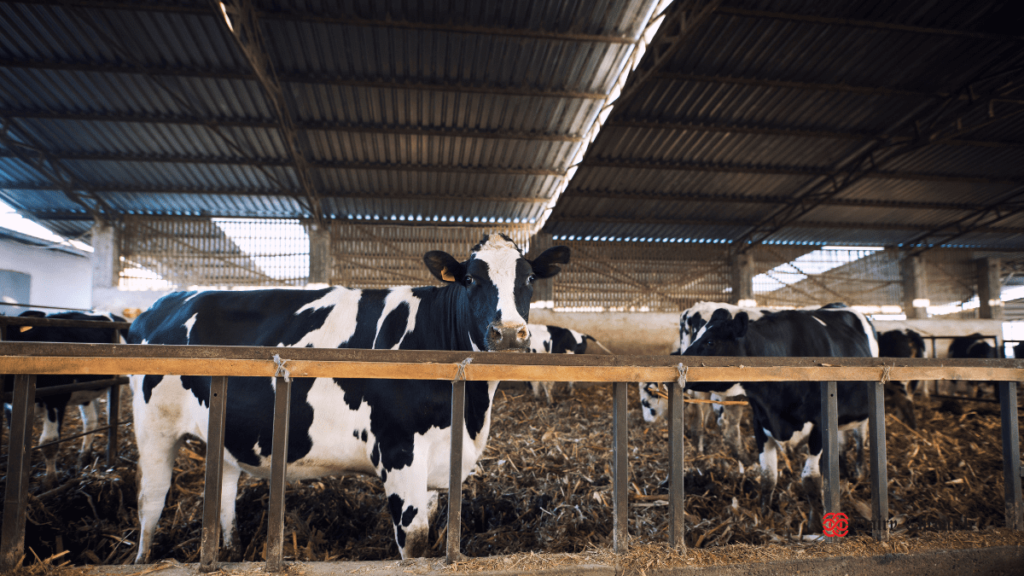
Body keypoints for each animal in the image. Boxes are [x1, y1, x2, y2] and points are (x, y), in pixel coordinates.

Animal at [2, 309, 126, 483]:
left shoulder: (56, 399)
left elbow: (49, 443)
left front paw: (50, 482)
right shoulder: (10, 405)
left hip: (117, 383)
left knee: (112, 414)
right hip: (87, 389)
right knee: (91, 421)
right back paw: (84, 456)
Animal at [126, 230, 569, 557]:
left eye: (529, 279)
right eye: (472, 279)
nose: (509, 333)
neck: (470, 413)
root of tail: (162, 304)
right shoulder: (398, 452)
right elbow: (415, 542)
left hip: (225, 428)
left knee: (223, 490)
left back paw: (231, 550)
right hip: (155, 429)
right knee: (151, 501)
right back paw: (144, 559)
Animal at [675, 303, 876, 532]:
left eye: (710, 342)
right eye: (696, 336)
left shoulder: (819, 425)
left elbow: (810, 479)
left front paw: (814, 524)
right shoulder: (761, 421)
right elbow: (768, 476)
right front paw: (764, 517)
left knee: (860, 438)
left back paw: (859, 472)